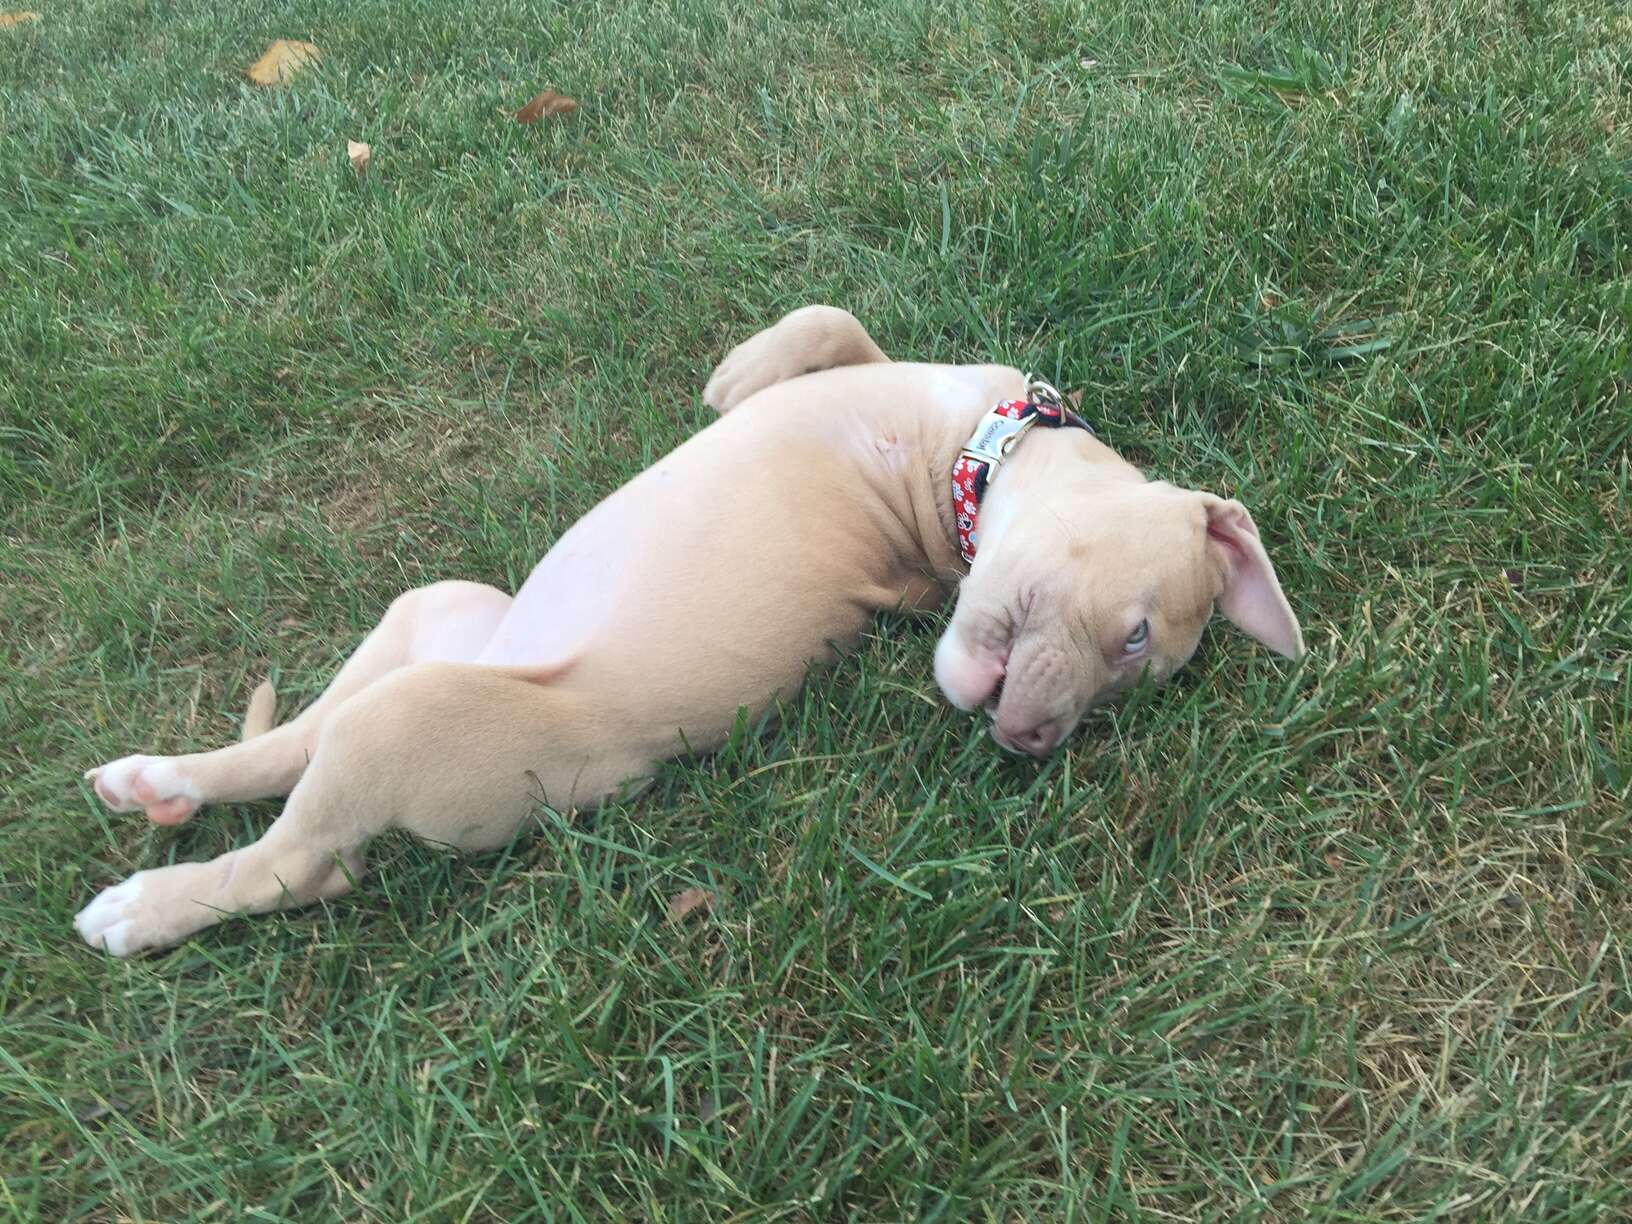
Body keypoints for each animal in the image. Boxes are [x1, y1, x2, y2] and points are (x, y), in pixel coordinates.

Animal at [76, 306, 1305, 959]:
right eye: (1136, 639)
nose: (1030, 743)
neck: (978, 450)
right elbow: (829, 321)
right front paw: (734, 377)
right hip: (437, 610)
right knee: (297, 742)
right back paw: (159, 782)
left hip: (427, 721)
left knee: (304, 859)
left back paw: (143, 905)